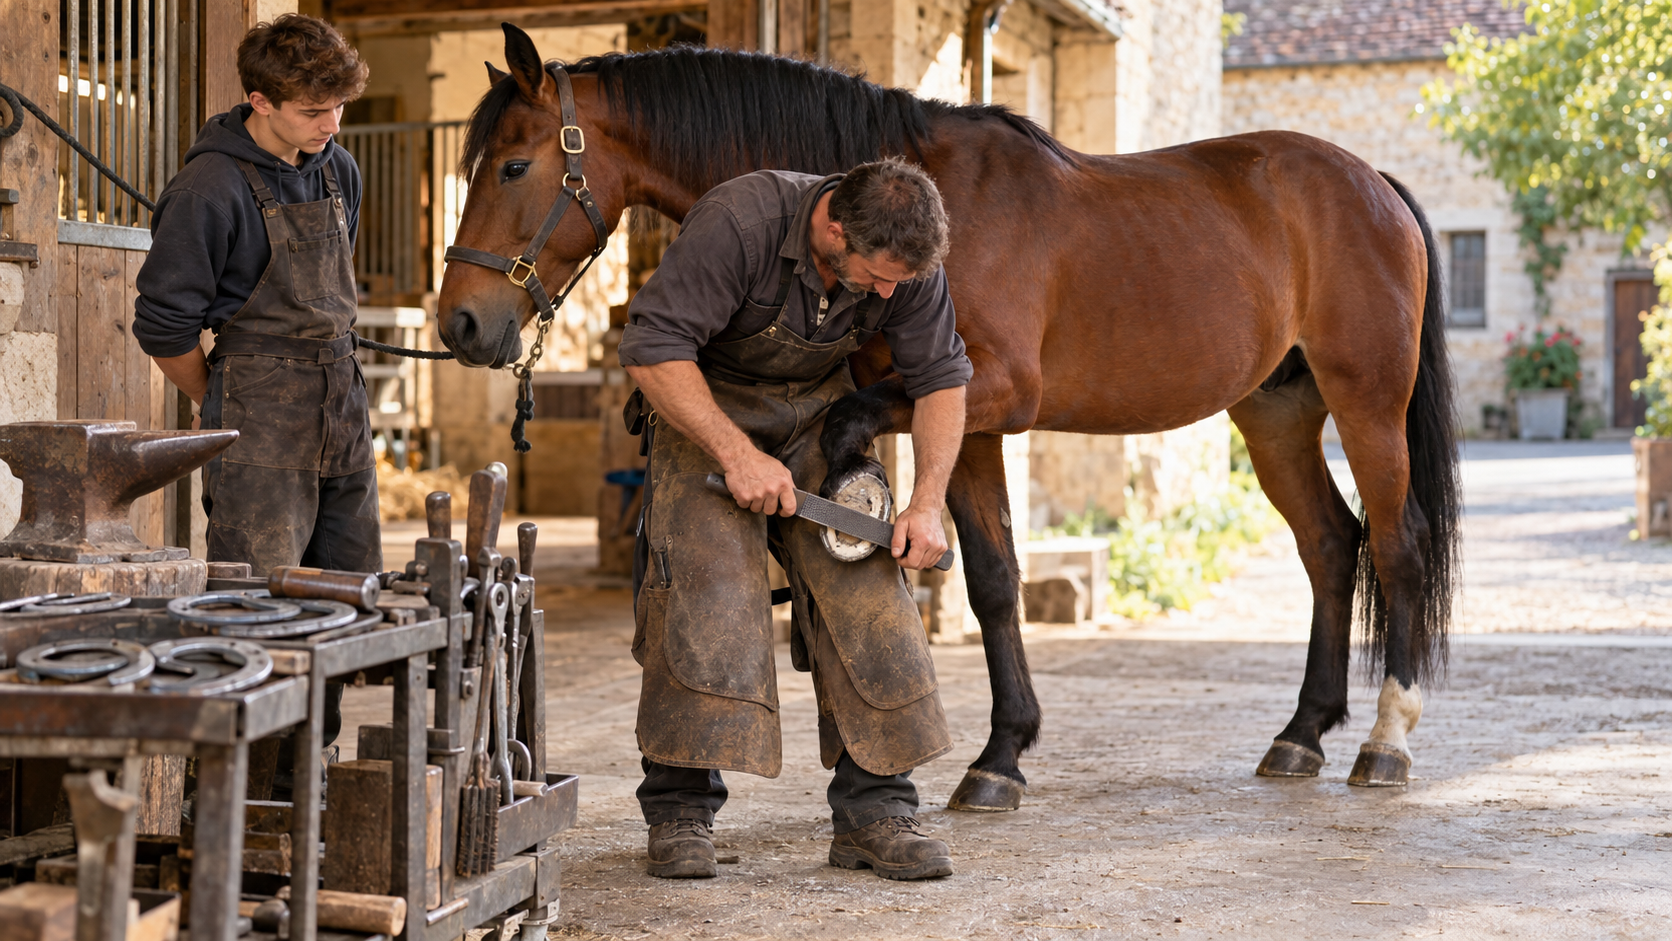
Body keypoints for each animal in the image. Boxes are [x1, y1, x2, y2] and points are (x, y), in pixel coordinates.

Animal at [434, 24, 1461, 810]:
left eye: (515, 164)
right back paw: (1301, 735)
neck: (937, 202)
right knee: (1330, 545)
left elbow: (855, 435)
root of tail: (1373, 182)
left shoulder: (980, 397)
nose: (460, 323)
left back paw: (1387, 742)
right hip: (1276, 411)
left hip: (1367, 402)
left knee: (1398, 543)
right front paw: (1001, 756)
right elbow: (996, 582)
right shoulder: (968, 428)